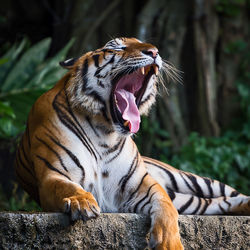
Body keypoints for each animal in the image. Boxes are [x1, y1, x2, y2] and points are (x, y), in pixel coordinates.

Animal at [15, 37, 250, 250]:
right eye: (117, 47)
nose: (154, 51)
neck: (103, 133)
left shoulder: (141, 184)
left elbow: (165, 206)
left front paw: (169, 243)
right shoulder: (52, 175)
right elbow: (65, 186)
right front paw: (82, 202)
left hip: (192, 180)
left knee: (227, 194)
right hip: (187, 199)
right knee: (213, 203)